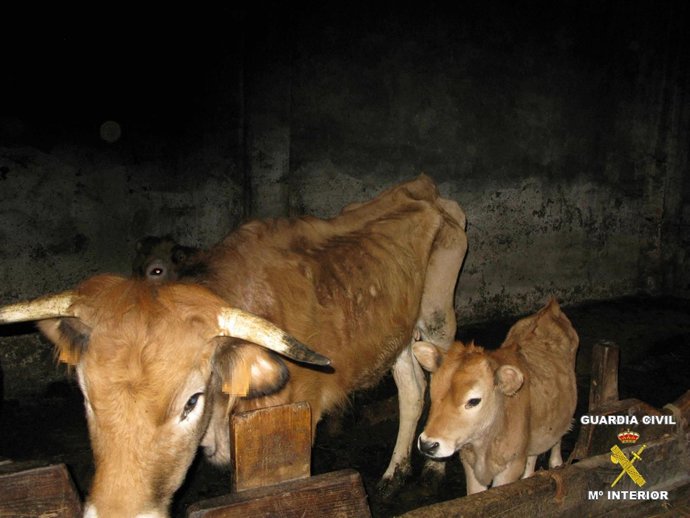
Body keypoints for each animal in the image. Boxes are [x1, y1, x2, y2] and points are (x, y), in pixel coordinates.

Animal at [0, 175, 467, 517]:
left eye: (192, 401)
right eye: (86, 396)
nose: (120, 512)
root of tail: (424, 187)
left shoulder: (288, 429)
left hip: (437, 315)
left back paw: (432, 467)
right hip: (397, 331)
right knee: (412, 389)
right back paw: (394, 474)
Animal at [414, 299, 578, 494]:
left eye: (474, 400)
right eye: (433, 392)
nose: (427, 444)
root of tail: (550, 308)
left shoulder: (511, 467)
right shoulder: (470, 464)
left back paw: (556, 462)